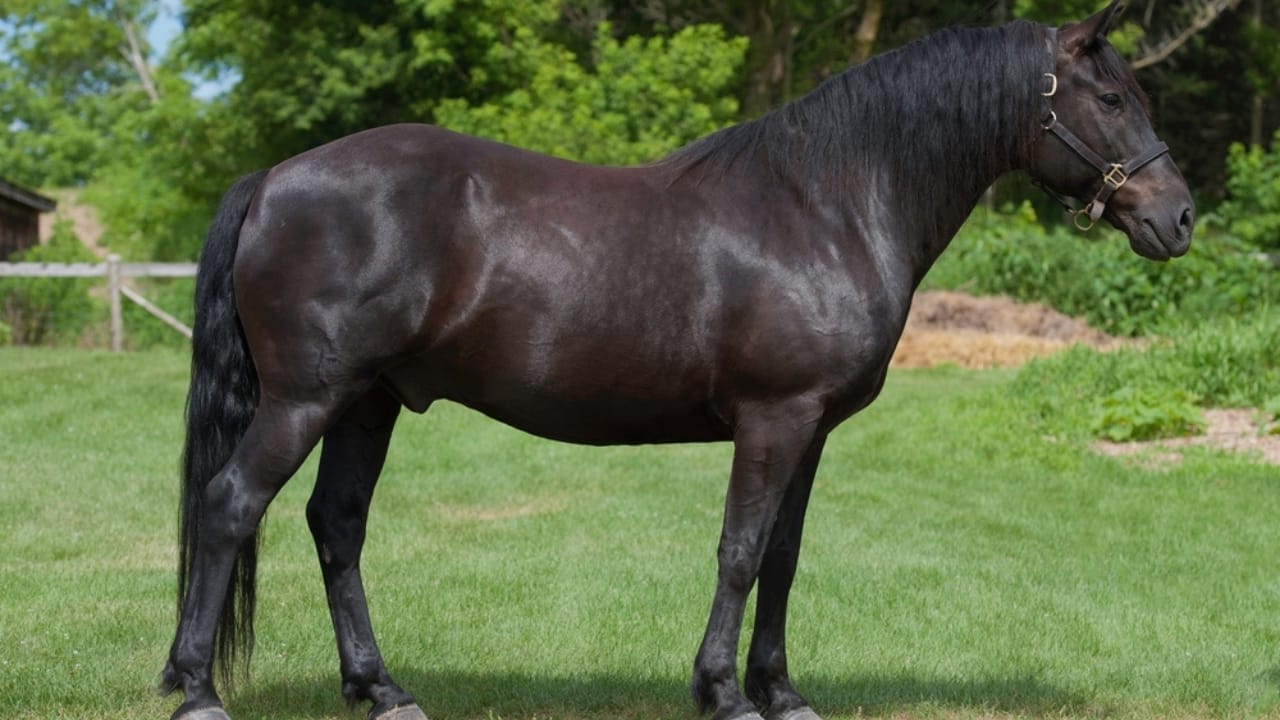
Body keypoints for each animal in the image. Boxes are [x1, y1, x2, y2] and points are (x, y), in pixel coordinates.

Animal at [159, 3, 1193, 719]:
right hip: (306, 398)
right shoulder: (775, 418)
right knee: (230, 505)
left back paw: (382, 690)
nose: (1178, 218)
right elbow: (739, 551)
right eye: (1110, 99)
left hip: (368, 401)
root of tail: (276, 178)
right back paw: (199, 689)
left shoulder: (813, 430)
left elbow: (783, 555)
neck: (827, 205)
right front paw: (723, 693)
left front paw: (782, 692)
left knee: (336, 525)